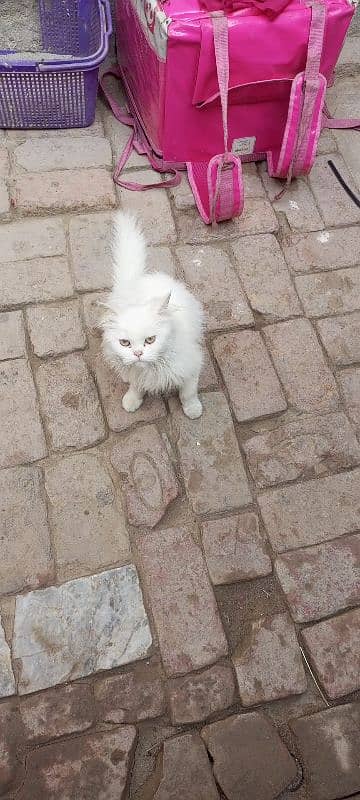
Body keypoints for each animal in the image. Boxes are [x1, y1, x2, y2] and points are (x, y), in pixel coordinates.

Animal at [101, 209, 204, 422]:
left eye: (150, 340)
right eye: (125, 343)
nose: (138, 353)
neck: (151, 369)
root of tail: (136, 281)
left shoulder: (192, 365)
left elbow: (188, 393)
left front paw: (193, 410)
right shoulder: (136, 373)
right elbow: (136, 386)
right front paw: (132, 400)